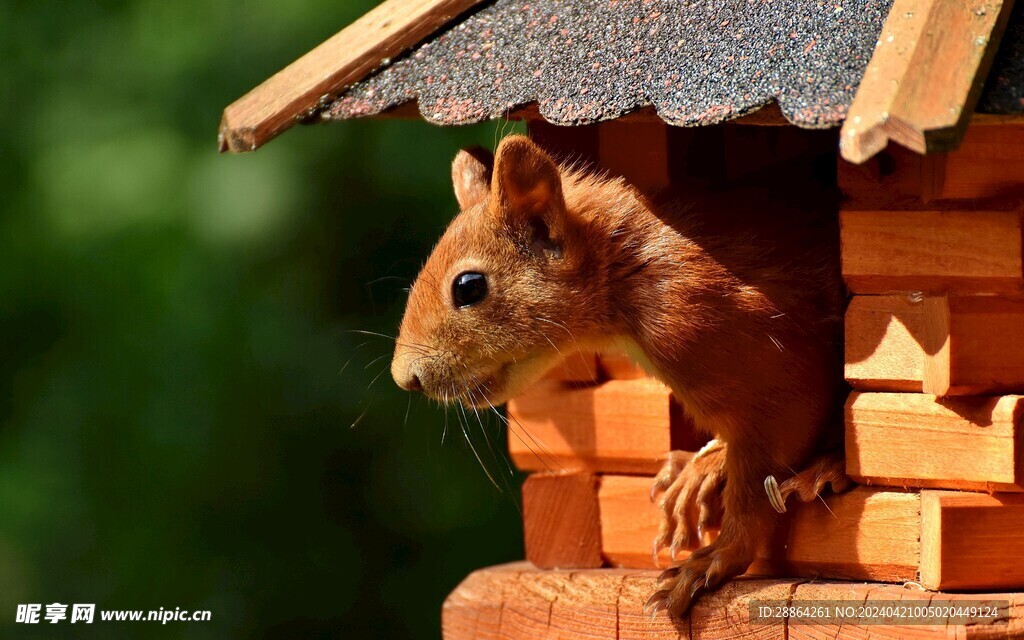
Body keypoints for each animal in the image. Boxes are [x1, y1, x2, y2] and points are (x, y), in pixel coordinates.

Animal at [391, 133, 847, 614]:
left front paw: (716, 558)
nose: (406, 378)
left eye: (469, 287)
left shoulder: (752, 353)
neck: (626, 273)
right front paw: (704, 465)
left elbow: (764, 469)